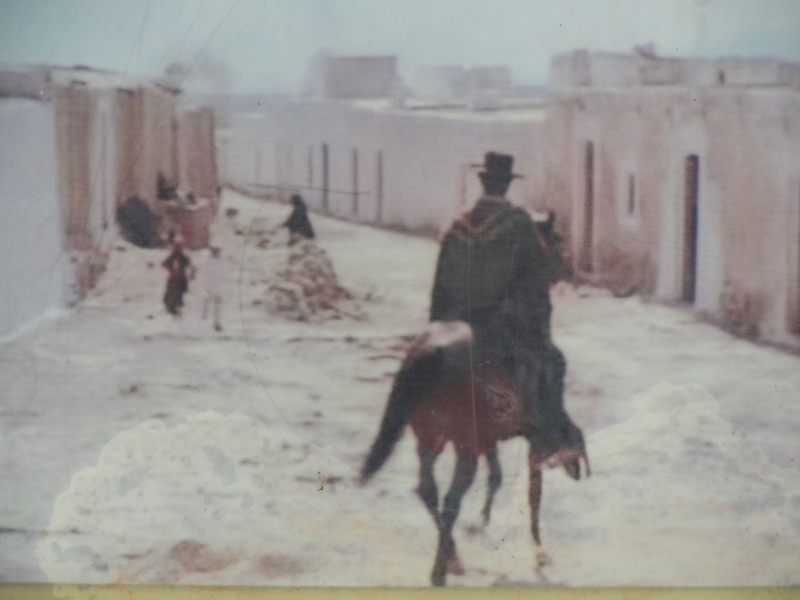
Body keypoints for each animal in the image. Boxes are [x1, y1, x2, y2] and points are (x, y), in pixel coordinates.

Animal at [360, 211, 592, 584]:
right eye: (556, 241)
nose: (569, 272)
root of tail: (431, 353)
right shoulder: (532, 437)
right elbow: (533, 493)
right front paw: (538, 551)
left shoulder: (490, 437)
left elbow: (497, 475)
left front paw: (482, 523)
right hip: (462, 447)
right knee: (450, 499)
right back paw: (440, 572)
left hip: (431, 439)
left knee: (427, 490)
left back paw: (452, 556)